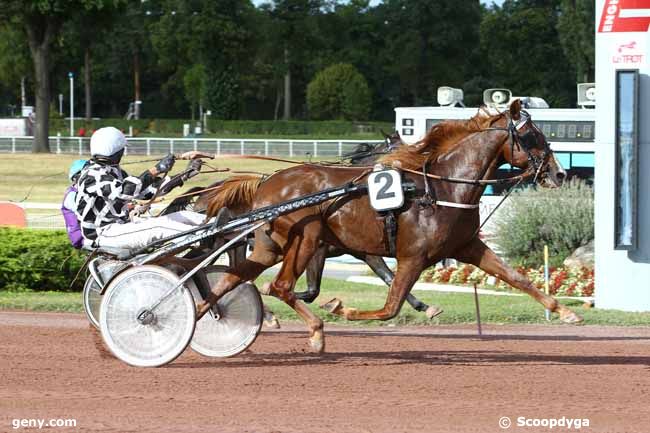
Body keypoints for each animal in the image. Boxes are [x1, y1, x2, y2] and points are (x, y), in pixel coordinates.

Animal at [196, 100, 576, 352]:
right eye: (532, 136)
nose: (559, 173)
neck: (439, 188)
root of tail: (266, 181)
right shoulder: (411, 255)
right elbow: (390, 305)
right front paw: (343, 308)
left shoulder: (467, 246)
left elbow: (516, 277)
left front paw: (565, 311)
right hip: (307, 237)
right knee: (280, 286)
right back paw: (315, 330)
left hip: (269, 247)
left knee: (231, 279)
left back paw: (197, 316)